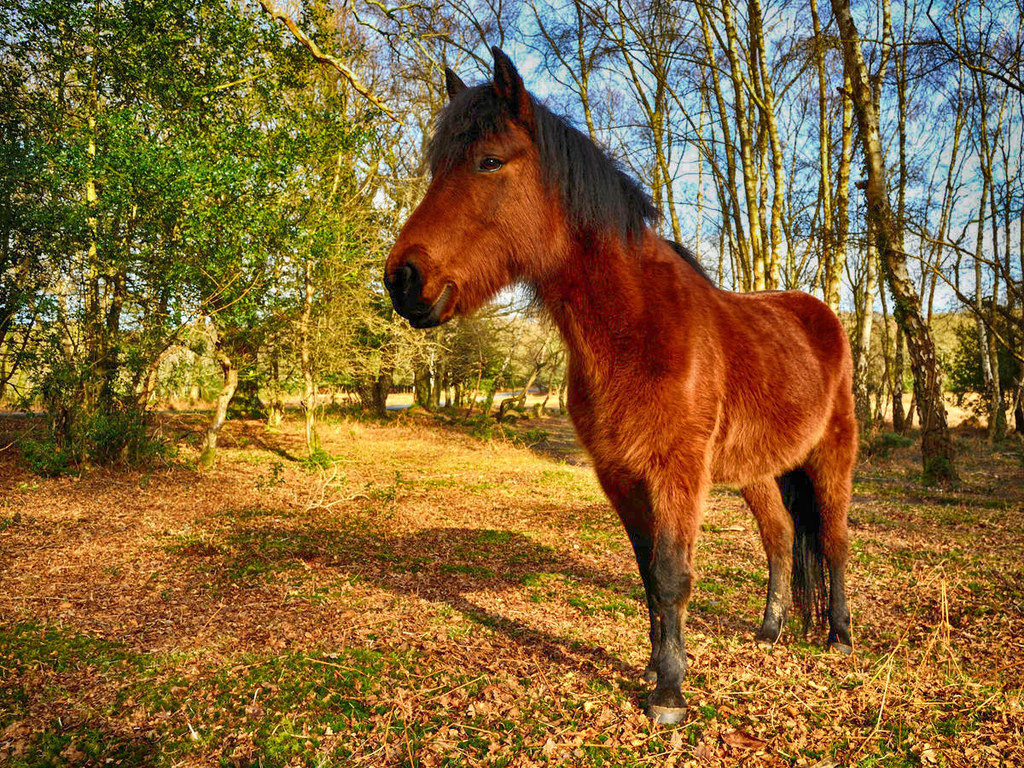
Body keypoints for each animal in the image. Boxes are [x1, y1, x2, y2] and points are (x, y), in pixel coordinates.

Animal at [384, 48, 857, 725]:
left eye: (489, 160)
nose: (402, 280)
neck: (636, 329)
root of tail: (821, 315)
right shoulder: (621, 475)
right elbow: (648, 576)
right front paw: (655, 670)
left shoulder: (676, 474)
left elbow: (672, 575)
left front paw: (669, 696)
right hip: (757, 470)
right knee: (782, 537)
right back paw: (769, 631)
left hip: (831, 456)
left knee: (836, 540)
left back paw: (839, 636)